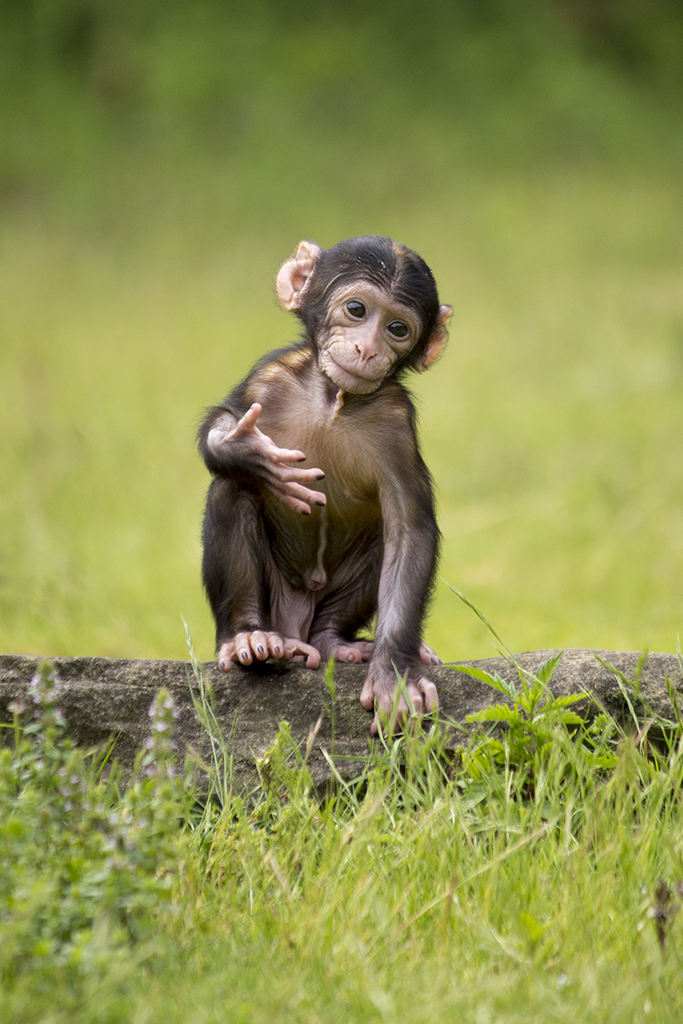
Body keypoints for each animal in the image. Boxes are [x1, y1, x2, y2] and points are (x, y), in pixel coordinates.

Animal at [198, 236, 452, 733]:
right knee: (231, 490)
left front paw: (395, 675)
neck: (331, 398)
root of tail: (295, 629)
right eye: (356, 309)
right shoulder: (270, 376)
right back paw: (249, 636)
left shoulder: (395, 424)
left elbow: (409, 530)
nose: (367, 348)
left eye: (397, 328)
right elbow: (226, 419)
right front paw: (246, 450)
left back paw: (337, 641)